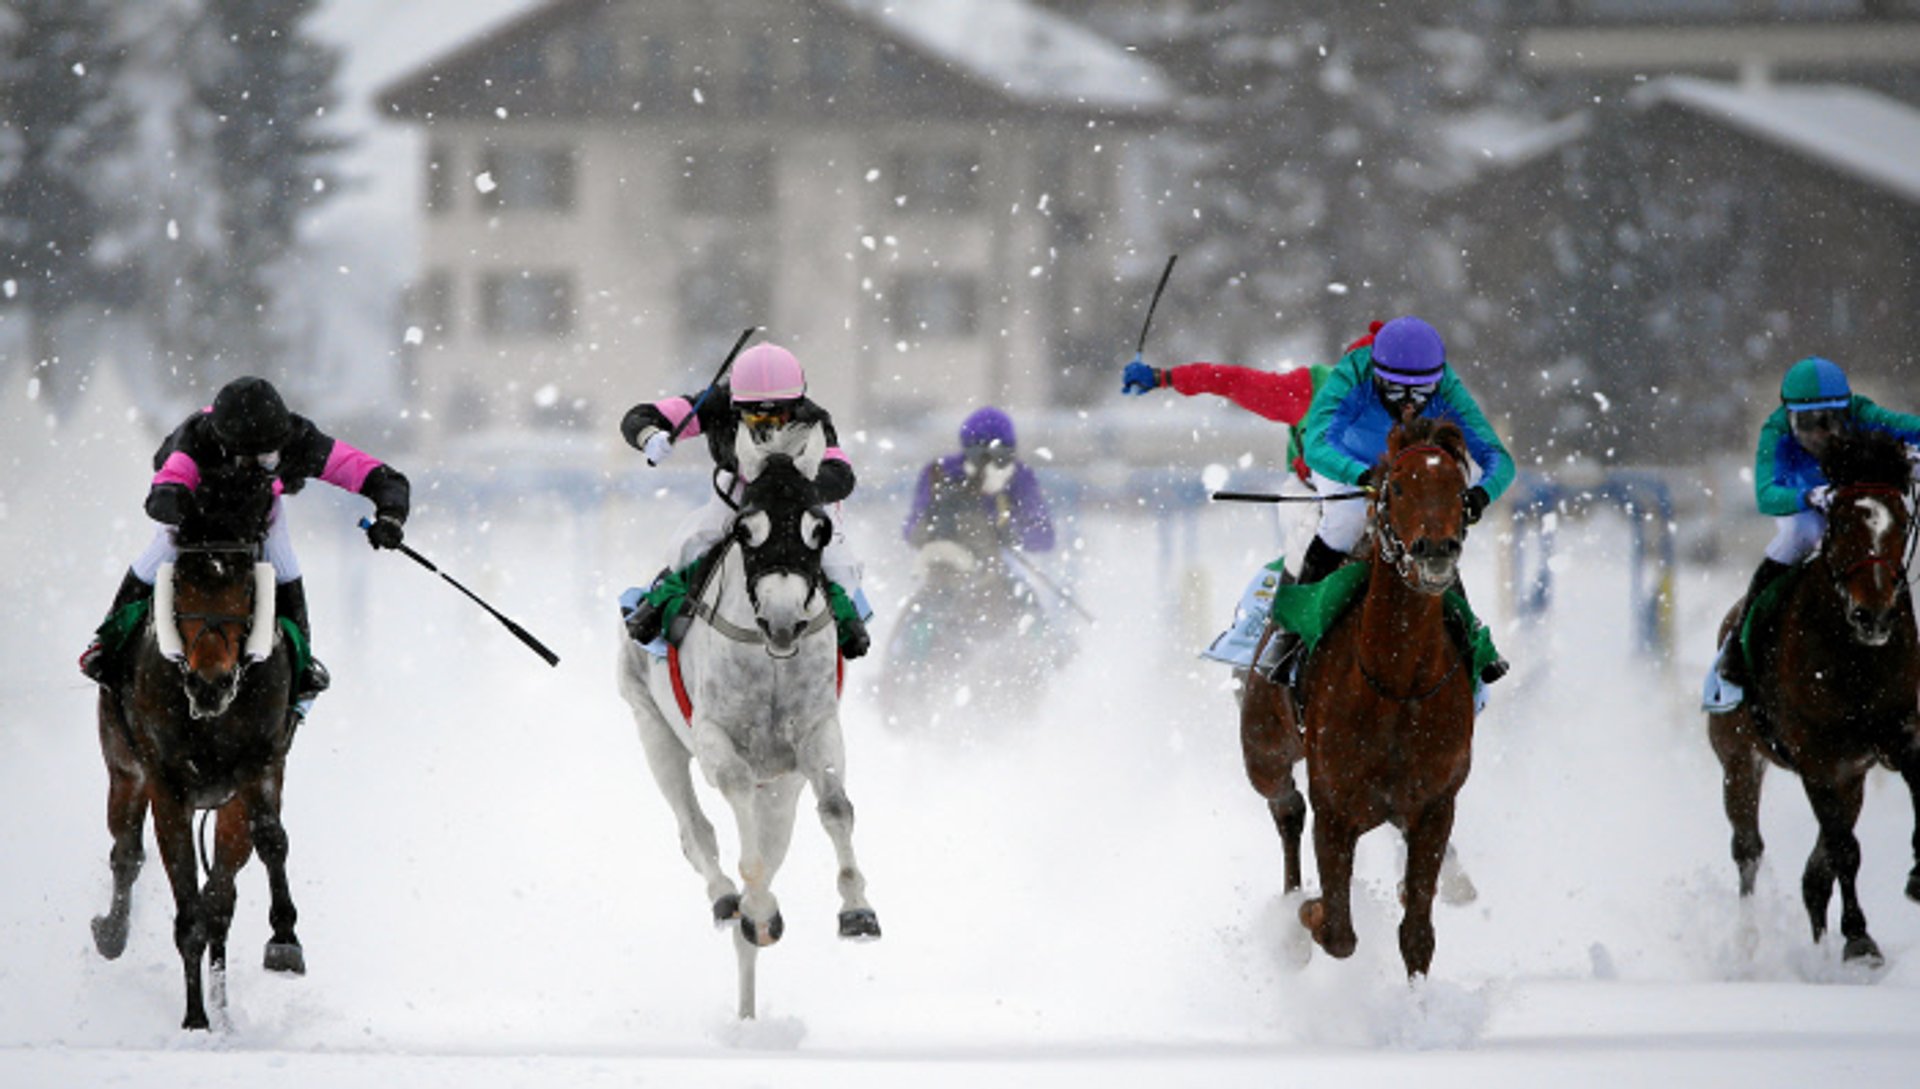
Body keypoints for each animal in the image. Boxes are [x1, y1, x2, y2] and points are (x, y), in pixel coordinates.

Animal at [91, 518, 301, 1029]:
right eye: (181, 583)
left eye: (246, 586)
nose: (211, 684)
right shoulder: (166, 785)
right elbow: (186, 905)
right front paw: (194, 1020)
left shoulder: (260, 764)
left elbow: (269, 840)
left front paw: (284, 940)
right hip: (123, 769)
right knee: (127, 852)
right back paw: (112, 933)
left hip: (227, 807)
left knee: (222, 896)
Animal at [618, 422, 879, 1021]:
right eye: (745, 528)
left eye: (819, 528)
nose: (784, 620)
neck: (772, 659)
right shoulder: (715, 736)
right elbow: (735, 801)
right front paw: (757, 908)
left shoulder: (816, 732)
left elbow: (836, 807)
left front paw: (857, 910)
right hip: (653, 730)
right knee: (697, 833)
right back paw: (729, 903)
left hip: (780, 790)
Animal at [1236, 420, 1474, 979]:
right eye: (1400, 487)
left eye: (1459, 490)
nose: (1436, 550)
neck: (1398, 684)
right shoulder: (1336, 807)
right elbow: (1338, 932)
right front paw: (1304, 915)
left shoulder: (1435, 805)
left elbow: (1417, 933)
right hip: (1263, 748)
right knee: (1286, 806)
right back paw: (1291, 905)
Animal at [1712, 426, 1920, 964]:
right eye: (1842, 522)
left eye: (1902, 521)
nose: (1874, 615)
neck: (1855, 657)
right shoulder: (1817, 757)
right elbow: (1845, 850)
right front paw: (1860, 940)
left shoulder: (1895, 734)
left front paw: (1916, 875)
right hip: (1739, 758)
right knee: (1748, 849)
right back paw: (1749, 941)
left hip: (1853, 778)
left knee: (1814, 872)